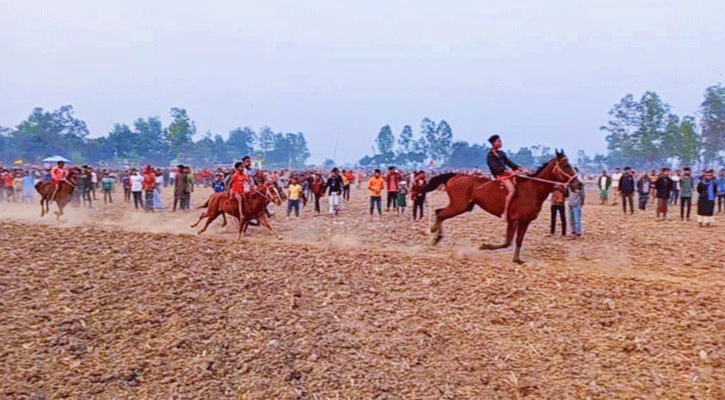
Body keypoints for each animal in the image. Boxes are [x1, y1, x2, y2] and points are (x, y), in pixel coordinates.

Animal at [416, 150, 580, 262]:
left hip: (464, 206)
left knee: (439, 212)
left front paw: (517, 260)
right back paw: (434, 233)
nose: (578, 183)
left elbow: (518, 241)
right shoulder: (513, 220)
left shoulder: (525, 221)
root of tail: (455, 175)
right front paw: (484, 246)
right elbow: (507, 242)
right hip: (459, 205)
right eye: (565, 165)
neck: (533, 188)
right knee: (440, 213)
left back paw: (436, 236)